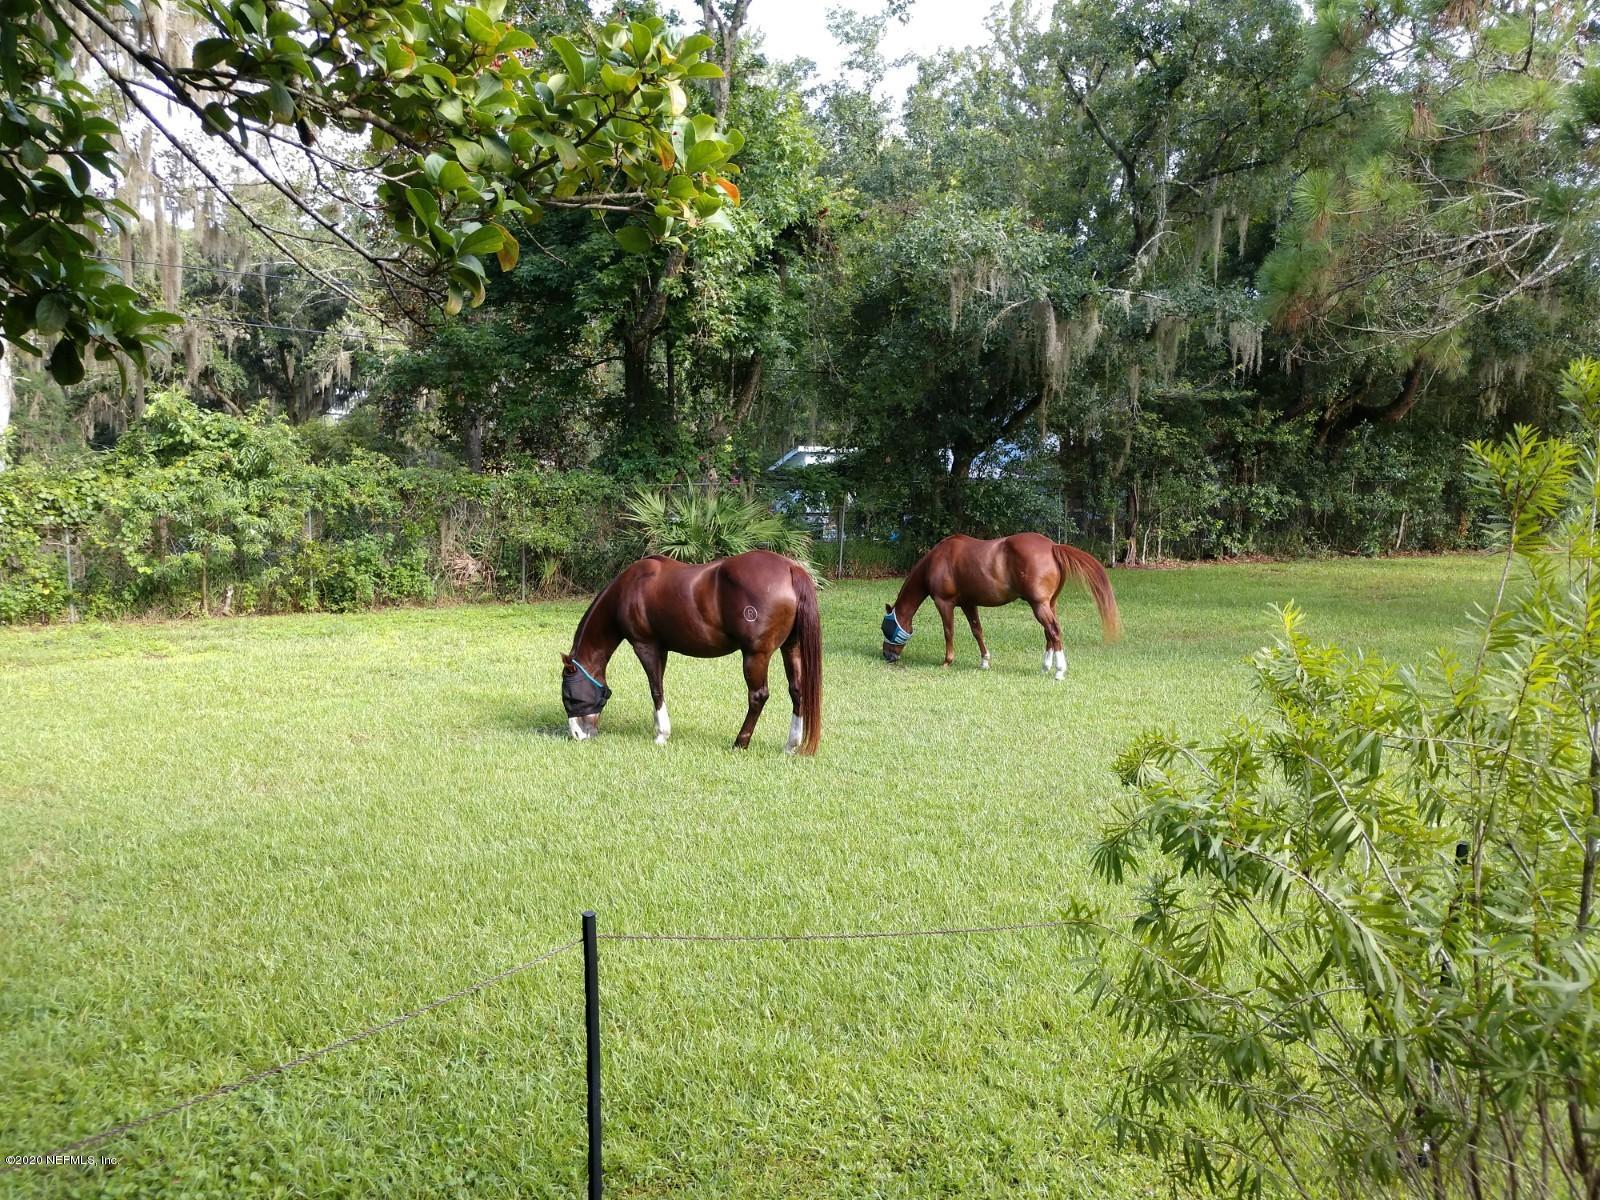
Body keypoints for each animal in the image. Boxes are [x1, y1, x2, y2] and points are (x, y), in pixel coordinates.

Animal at [560, 550, 822, 754]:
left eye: (569, 696)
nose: (578, 735)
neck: (630, 588)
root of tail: (790, 568)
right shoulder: (662, 648)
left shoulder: (645, 646)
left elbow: (656, 689)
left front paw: (661, 735)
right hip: (791, 648)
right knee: (797, 691)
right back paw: (790, 746)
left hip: (755, 655)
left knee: (758, 696)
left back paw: (740, 743)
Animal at [879, 532, 1121, 678]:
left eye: (886, 628)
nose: (887, 656)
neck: (939, 559)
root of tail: (1053, 546)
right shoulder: (968, 603)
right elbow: (977, 630)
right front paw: (985, 661)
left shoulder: (944, 602)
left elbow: (949, 631)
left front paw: (947, 661)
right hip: (1049, 604)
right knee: (1049, 634)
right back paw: (1045, 667)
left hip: (1039, 605)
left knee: (1053, 631)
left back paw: (1059, 671)